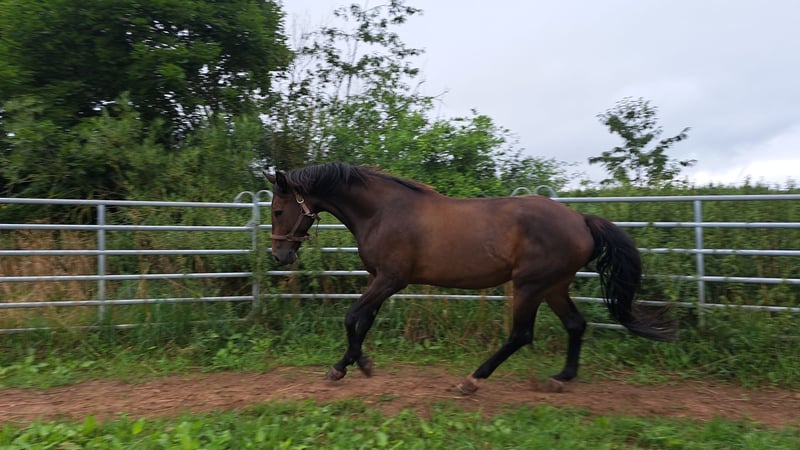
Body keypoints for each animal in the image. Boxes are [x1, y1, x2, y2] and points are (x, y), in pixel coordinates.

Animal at [265, 162, 675, 394]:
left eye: (278, 210)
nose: (279, 255)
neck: (383, 211)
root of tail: (581, 220)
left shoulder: (391, 279)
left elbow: (352, 316)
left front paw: (341, 368)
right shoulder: (379, 279)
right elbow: (364, 320)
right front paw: (360, 363)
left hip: (529, 286)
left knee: (521, 335)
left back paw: (471, 380)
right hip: (554, 286)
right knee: (576, 324)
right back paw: (560, 378)